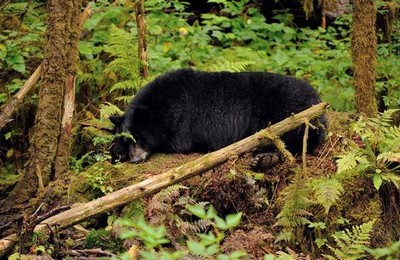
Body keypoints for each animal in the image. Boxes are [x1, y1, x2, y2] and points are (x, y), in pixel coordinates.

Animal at [108, 69, 324, 170]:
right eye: (128, 140)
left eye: (139, 137)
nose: (135, 159)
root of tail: (317, 98)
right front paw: (117, 149)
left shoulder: (184, 123)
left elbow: (176, 143)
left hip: (288, 111)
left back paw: (264, 157)